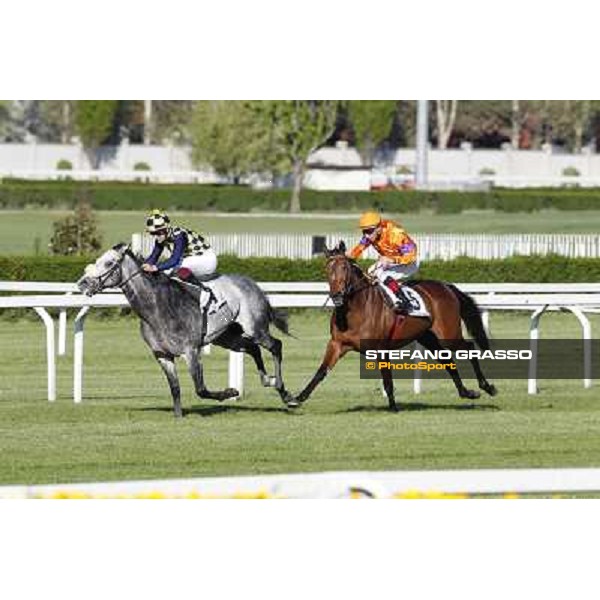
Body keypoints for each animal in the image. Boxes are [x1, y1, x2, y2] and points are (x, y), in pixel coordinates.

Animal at [77, 241, 292, 414]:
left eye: (108, 263)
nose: (82, 283)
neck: (157, 308)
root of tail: (253, 284)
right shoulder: (162, 354)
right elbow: (175, 388)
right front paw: (178, 416)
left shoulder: (191, 350)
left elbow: (201, 389)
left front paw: (230, 391)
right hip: (227, 337)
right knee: (253, 349)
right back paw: (270, 381)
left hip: (256, 328)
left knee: (275, 345)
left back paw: (286, 393)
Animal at [290, 241, 496, 410]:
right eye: (328, 269)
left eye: (344, 267)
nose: (337, 296)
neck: (356, 309)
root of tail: (447, 286)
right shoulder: (337, 344)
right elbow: (321, 372)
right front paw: (297, 398)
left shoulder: (381, 348)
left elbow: (387, 379)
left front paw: (394, 407)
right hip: (428, 337)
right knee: (447, 360)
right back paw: (466, 392)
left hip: (448, 334)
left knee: (469, 348)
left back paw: (487, 386)